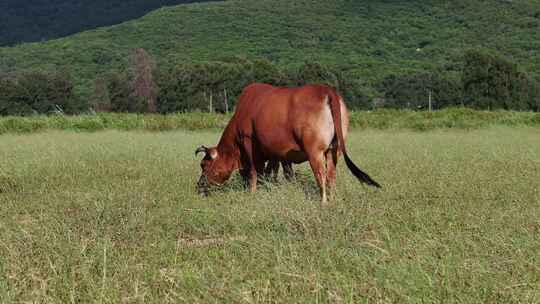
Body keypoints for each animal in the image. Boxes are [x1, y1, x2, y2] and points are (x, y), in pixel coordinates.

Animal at [195, 83, 380, 204]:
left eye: (204, 164)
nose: (199, 186)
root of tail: (327, 90)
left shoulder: (249, 143)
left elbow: (255, 171)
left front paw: (253, 193)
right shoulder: (279, 154)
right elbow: (279, 174)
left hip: (315, 152)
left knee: (321, 175)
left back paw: (323, 202)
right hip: (334, 151)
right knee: (331, 175)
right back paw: (332, 199)